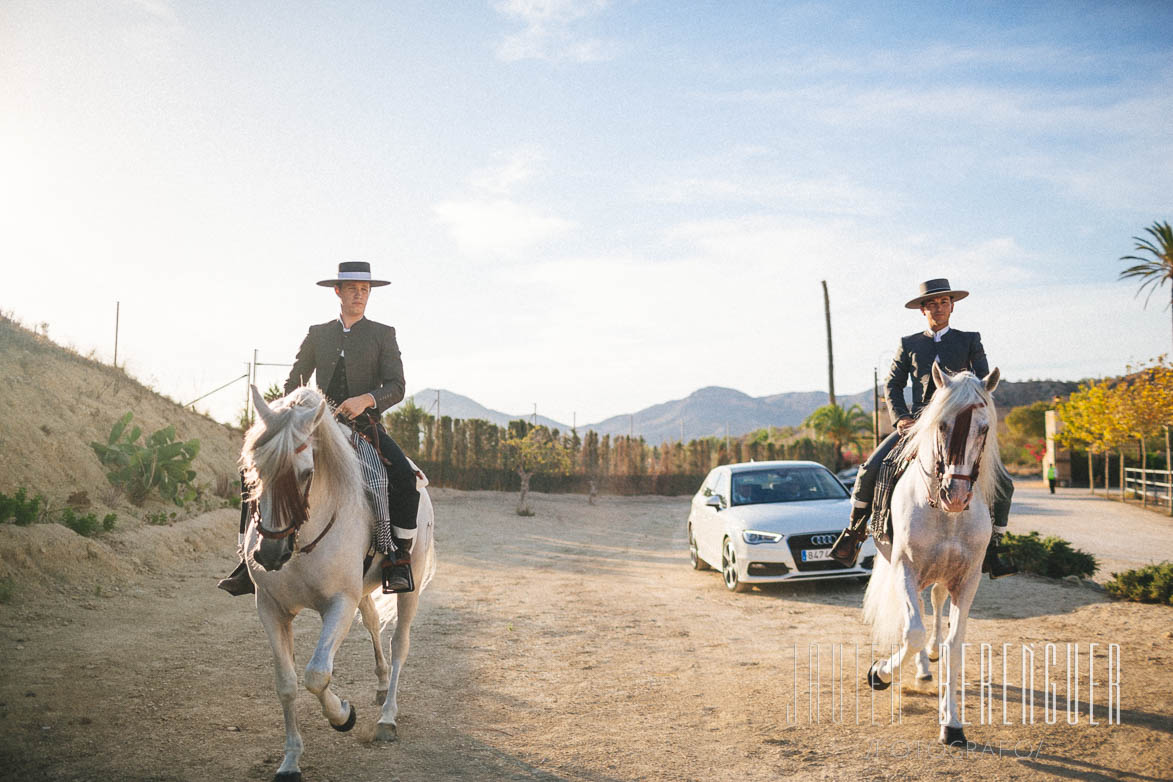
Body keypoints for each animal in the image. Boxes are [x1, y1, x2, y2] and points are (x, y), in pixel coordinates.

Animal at [240, 386, 438, 782]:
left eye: (305, 473)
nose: (269, 554)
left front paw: (344, 716)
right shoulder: (269, 608)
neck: (301, 542)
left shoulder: (339, 604)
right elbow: (286, 684)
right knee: (374, 623)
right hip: (360, 591)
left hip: (409, 583)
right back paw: (380, 685)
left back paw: (387, 717)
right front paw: (290, 760)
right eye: (255, 469)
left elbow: (317, 675)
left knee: (399, 644)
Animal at [863, 368, 1008, 745]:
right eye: (941, 425)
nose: (955, 495)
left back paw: (930, 656)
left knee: (936, 605)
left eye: (984, 428)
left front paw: (952, 723)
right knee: (913, 619)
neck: (947, 516)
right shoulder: (905, 568)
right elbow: (911, 631)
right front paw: (880, 673)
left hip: (943, 576)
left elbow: (954, 644)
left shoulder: (967, 579)